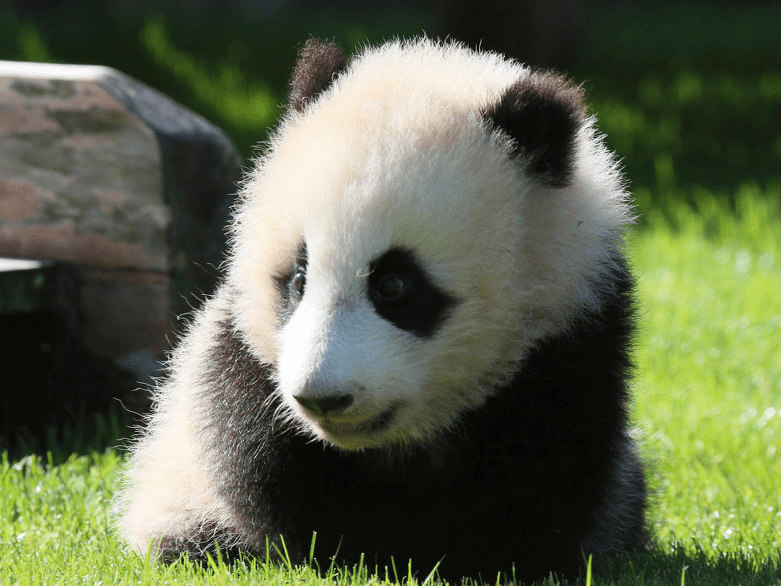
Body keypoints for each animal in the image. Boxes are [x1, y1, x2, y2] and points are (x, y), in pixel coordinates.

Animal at [116, 36, 648, 580]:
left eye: (393, 286)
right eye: (299, 279)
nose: (323, 399)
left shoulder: (569, 333)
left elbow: (542, 474)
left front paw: (475, 557)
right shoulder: (242, 359)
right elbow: (261, 459)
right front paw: (364, 552)